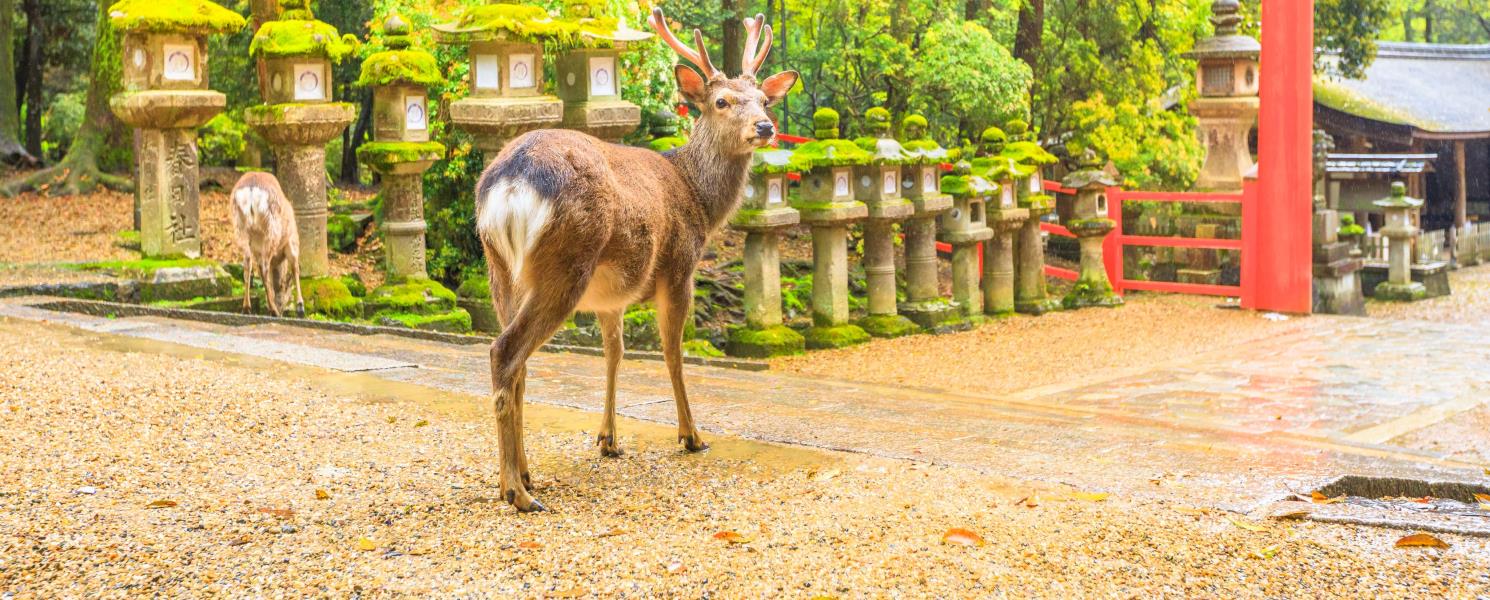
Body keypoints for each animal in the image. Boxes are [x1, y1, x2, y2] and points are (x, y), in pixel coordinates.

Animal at [227, 171, 303, 320]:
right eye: (286, 291)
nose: (282, 308)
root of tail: (251, 189)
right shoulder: (292, 241)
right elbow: (295, 268)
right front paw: (300, 307)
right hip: (271, 228)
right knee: (264, 267)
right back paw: (273, 310)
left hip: (240, 227)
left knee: (247, 265)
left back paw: (247, 308)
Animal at [476, 8, 798, 512]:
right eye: (721, 101)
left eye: (764, 99)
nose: (764, 127)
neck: (698, 198)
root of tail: (510, 181)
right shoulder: (680, 266)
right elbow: (671, 352)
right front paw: (691, 435)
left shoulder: (611, 297)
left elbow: (615, 352)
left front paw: (608, 439)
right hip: (566, 261)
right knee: (505, 352)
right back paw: (517, 492)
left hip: (500, 267)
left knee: (518, 363)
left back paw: (524, 475)